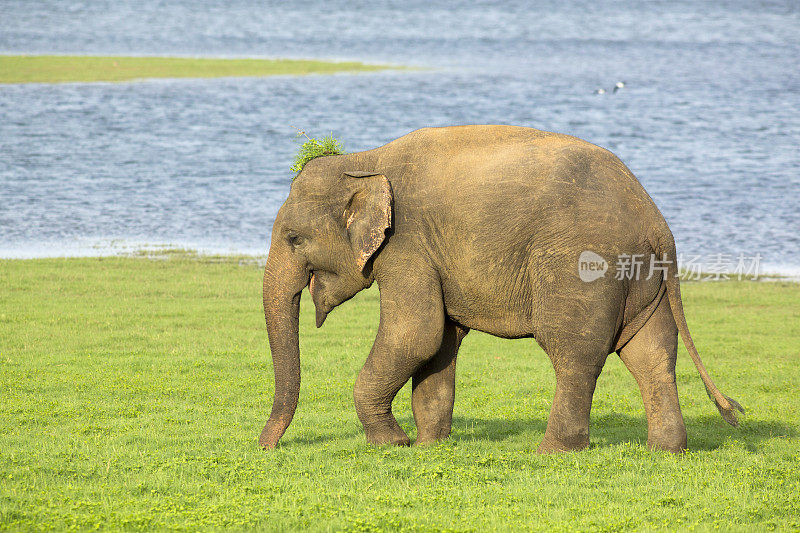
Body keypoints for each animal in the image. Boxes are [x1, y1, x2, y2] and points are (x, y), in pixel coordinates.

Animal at [258, 125, 744, 454]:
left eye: (294, 239)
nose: (265, 446)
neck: (366, 160)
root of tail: (656, 221)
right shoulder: (433, 255)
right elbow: (439, 341)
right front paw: (429, 446)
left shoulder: (407, 246)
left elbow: (416, 331)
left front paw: (391, 445)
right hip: (646, 279)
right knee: (652, 352)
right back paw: (666, 450)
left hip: (580, 268)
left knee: (575, 353)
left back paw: (553, 451)